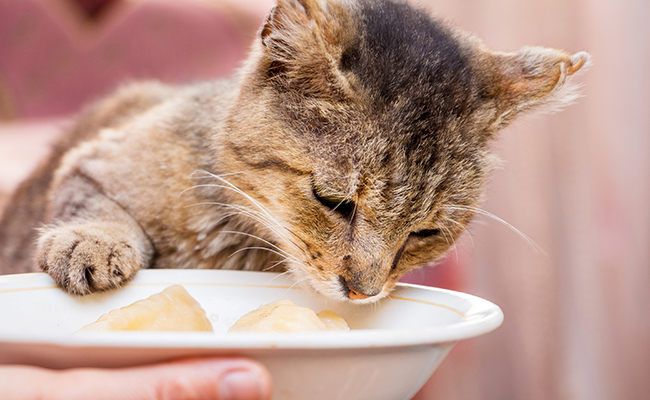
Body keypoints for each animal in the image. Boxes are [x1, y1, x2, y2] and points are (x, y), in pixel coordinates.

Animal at [0, 0, 588, 302]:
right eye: (334, 201)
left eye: (425, 233)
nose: (362, 292)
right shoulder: (93, 159)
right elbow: (95, 205)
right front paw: (93, 242)